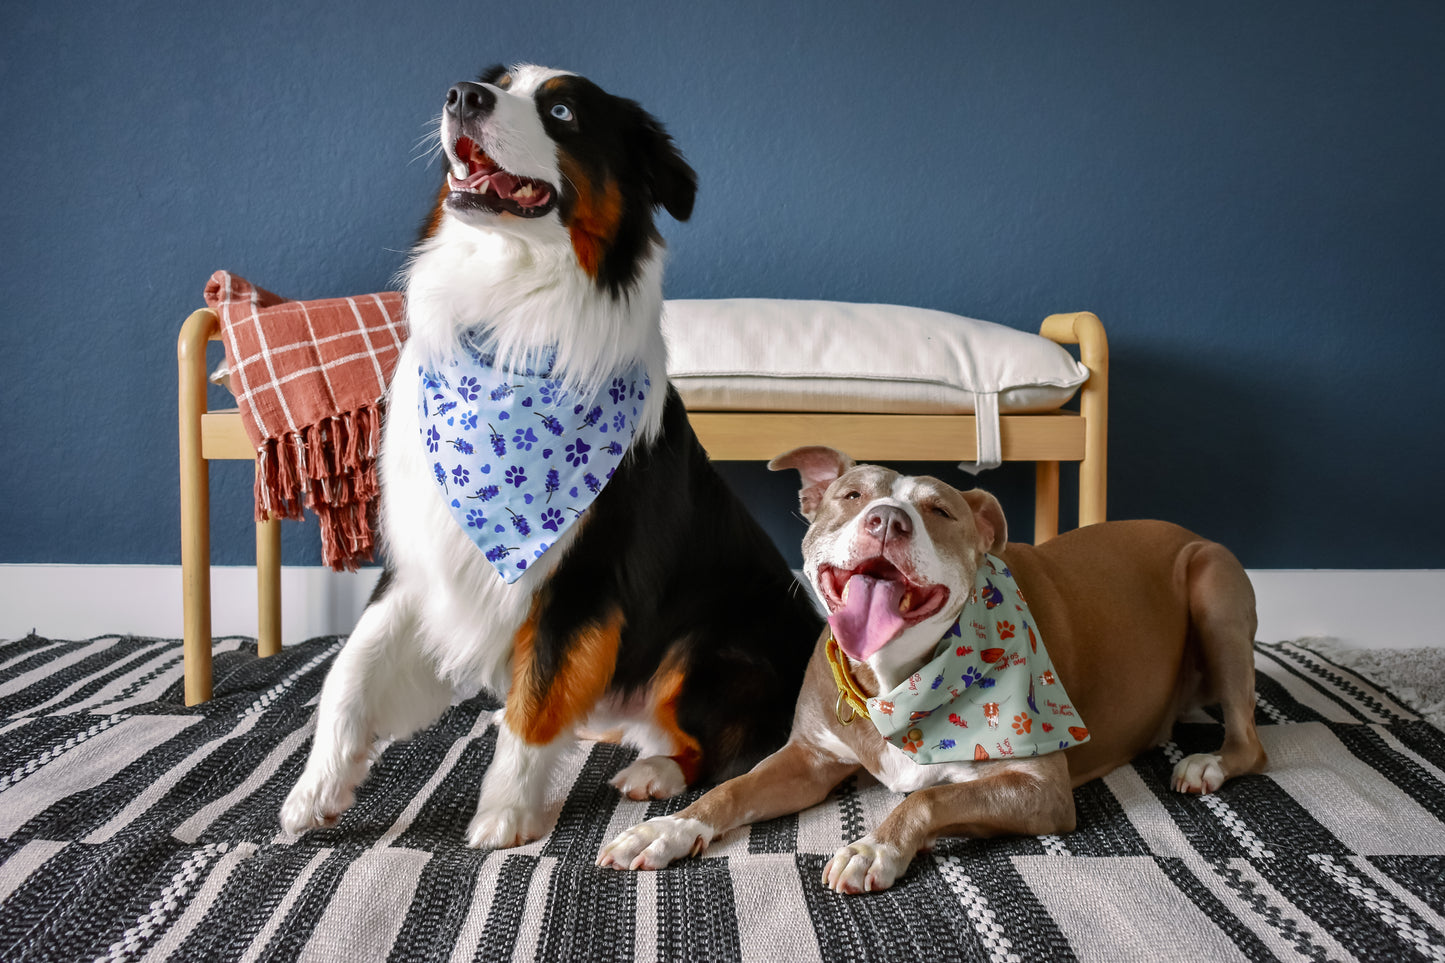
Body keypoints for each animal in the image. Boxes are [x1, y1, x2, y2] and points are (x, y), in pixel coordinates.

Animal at [595, 445, 1265, 890]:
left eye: (940, 511)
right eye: (851, 496)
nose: (887, 520)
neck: (894, 682)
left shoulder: (1039, 789)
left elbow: (928, 800)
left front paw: (873, 848)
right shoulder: (808, 760)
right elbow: (730, 790)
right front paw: (664, 830)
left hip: (1214, 588)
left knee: (1250, 740)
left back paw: (1205, 764)